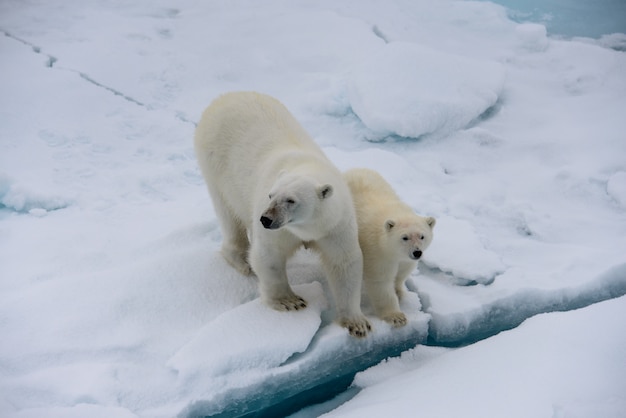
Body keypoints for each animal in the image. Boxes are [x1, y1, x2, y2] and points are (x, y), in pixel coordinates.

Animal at [194, 90, 370, 336]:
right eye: (271, 195)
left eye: (291, 200)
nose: (265, 219)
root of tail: (225, 97)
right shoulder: (280, 231)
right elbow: (269, 255)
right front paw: (290, 302)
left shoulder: (335, 224)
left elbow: (344, 262)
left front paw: (357, 323)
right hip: (215, 163)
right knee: (228, 213)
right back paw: (241, 259)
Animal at [342, 167, 434, 326]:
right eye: (405, 237)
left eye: (422, 236)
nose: (417, 253)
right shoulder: (377, 251)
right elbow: (381, 282)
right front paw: (396, 316)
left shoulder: (403, 258)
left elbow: (402, 271)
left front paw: (399, 292)